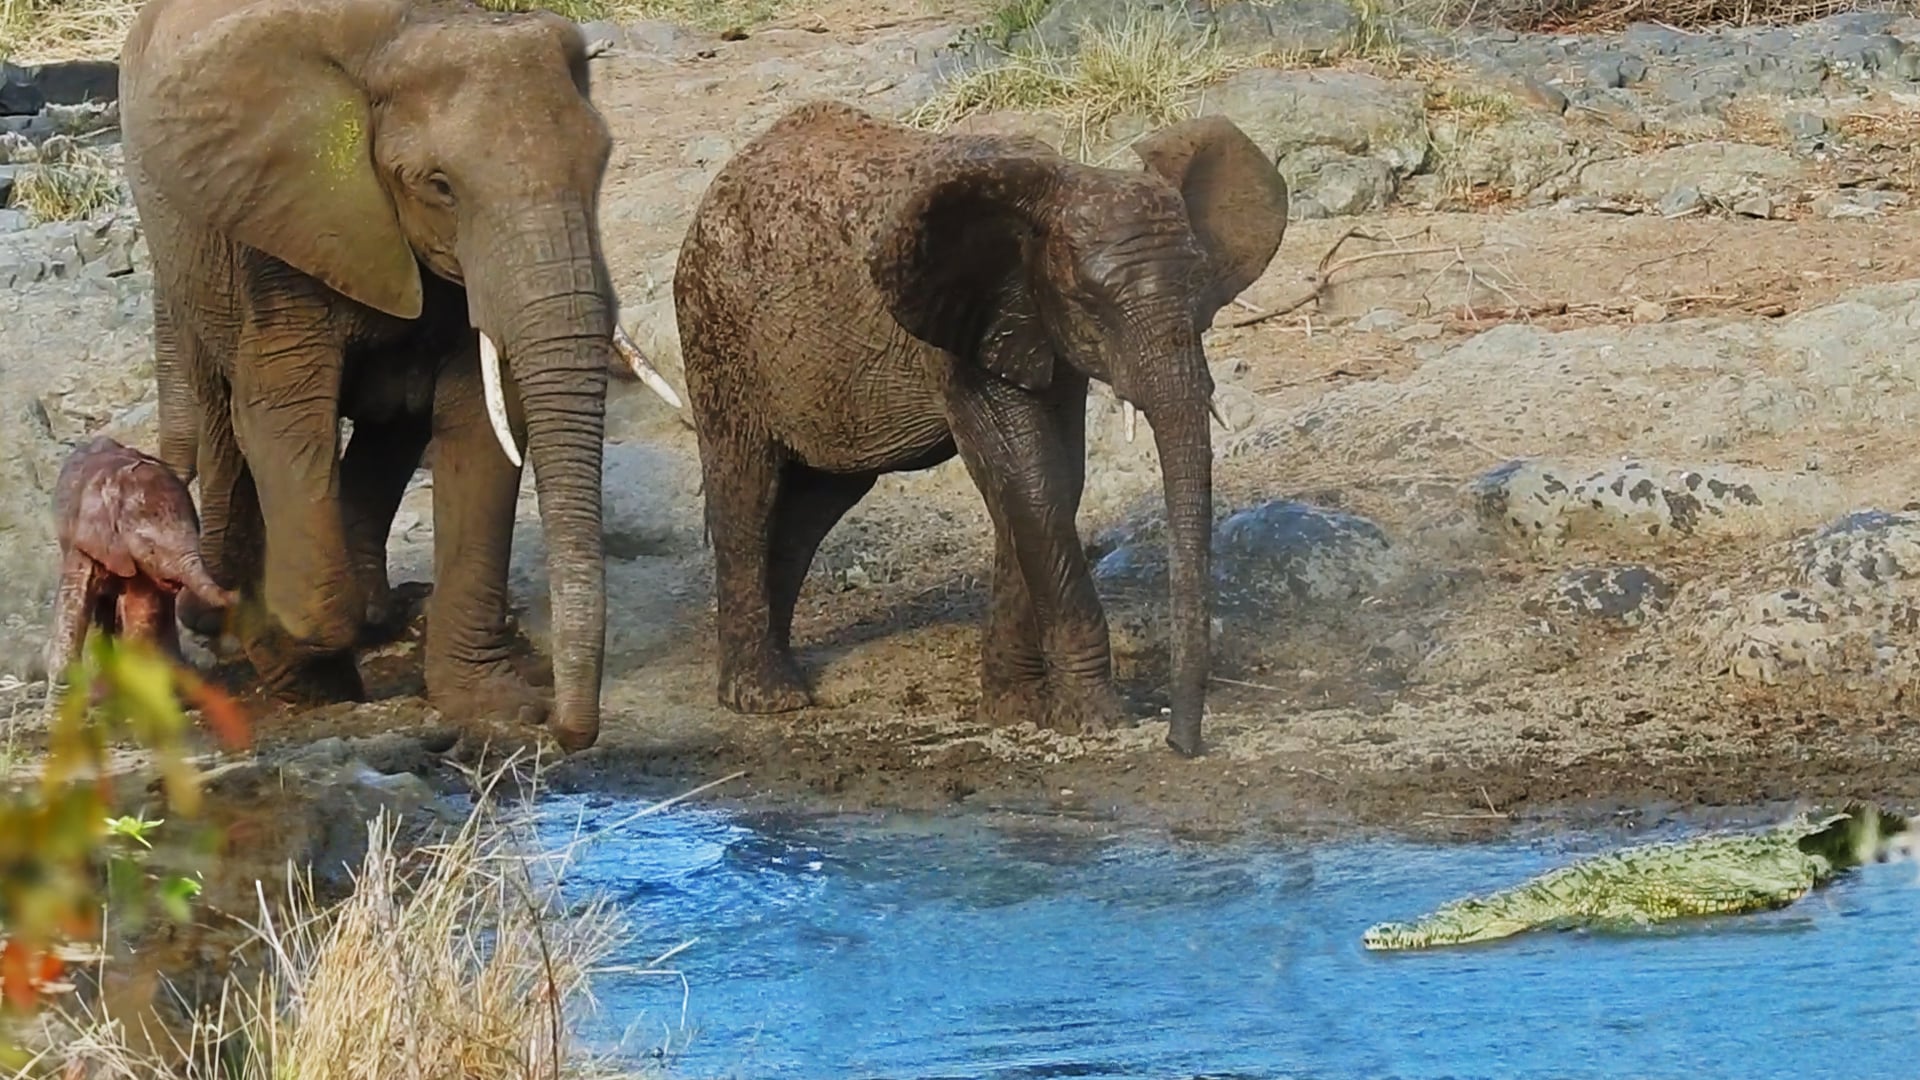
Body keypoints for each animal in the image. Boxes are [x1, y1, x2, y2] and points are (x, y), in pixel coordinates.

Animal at [118, 0, 677, 752]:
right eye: (440, 186)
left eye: (601, 165)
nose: (565, 730)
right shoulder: (289, 229)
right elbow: (282, 419)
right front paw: (293, 664)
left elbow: (484, 425)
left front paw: (493, 705)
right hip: (185, 254)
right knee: (222, 419)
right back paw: (226, 623)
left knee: (392, 432)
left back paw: (374, 613)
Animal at [672, 101, 1288, 757]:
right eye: (1090, 303)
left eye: (1200, 287)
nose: (1179, 744)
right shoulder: (956, 334)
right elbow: (1031, 479)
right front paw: (1093, 718)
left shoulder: (1033, 327)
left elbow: (1050, 479)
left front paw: (1015, 709)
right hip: (717, 328)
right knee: (748, 489)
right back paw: (765, 699)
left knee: (812, 507)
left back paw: (783, 676)